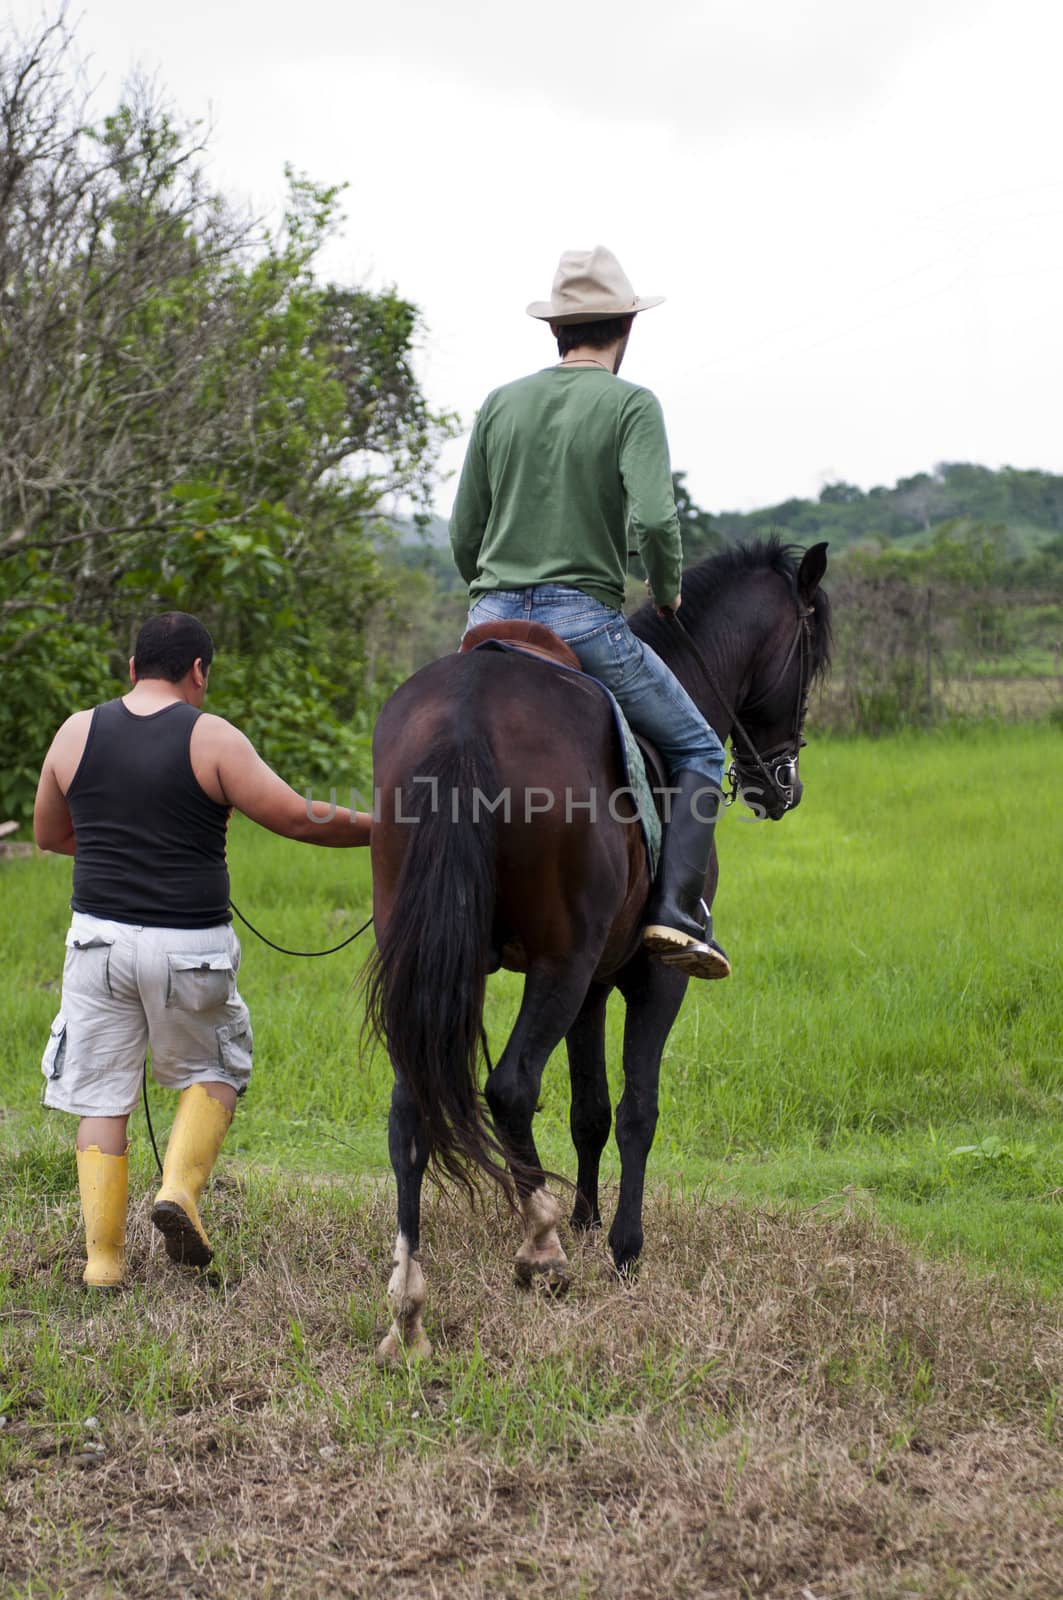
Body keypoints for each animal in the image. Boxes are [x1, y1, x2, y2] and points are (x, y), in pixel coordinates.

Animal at [365, 540, 832, 1363]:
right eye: (807, 657)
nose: (782, 784)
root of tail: (467, 710)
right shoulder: (650, 976)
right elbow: (639, 1106)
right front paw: (620, 1247)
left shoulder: (591, 984)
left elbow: (590, 1108)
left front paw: (585, 1219)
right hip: (559, 963)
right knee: (510, 1087)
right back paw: (541, 1251)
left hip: (439, 957)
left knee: (412, 1104)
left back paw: (410, 1301)